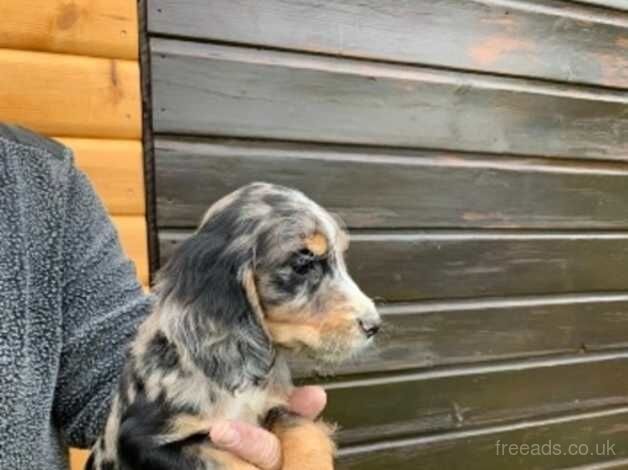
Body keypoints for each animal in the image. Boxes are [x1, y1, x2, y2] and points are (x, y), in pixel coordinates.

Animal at [85, 183, 380, 470]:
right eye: (303, 263)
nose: (374, 326)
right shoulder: (142, 438)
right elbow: (224, 460)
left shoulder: (275, 406)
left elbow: (302, 426)